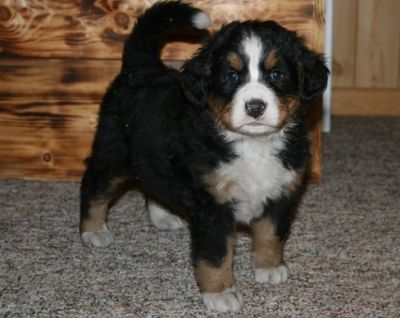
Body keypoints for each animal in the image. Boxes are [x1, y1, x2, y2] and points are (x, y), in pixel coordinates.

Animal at [80, 0, 328, 314]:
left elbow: (271, 234)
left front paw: (269, 266)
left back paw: (162, 217)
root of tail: (140, 69)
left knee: (152, 181)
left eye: (277, 75)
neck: (253, 145)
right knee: (94, 186)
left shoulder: (282, 192)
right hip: (114, 153)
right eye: (231, 76)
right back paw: (93, 230)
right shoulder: (211, 205)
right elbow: (215, 254)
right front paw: (220, 293)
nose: (255, 106)